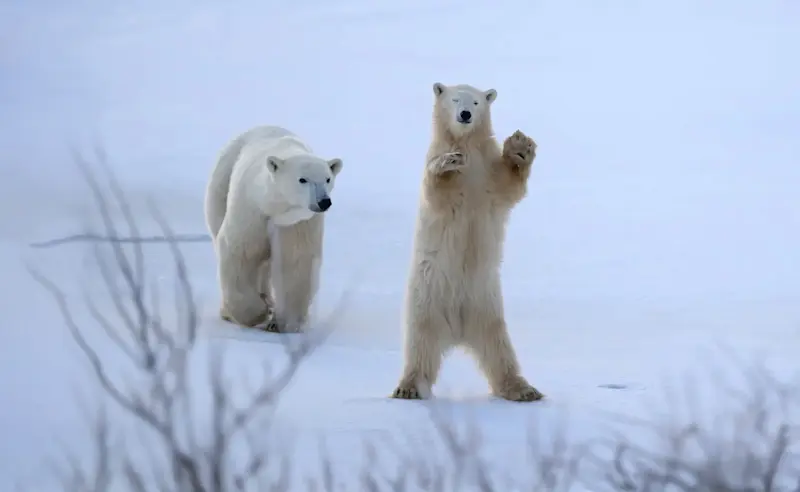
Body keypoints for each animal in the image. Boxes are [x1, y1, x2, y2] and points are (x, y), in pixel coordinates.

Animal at [204, 125, 343, 333]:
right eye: (303, 179)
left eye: (327, 179)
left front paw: (282, 323)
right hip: (222, 183)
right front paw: (257, 313)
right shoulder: (251, 209)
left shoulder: (297, 223)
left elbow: (295, 262)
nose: (324, 201)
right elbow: (240, 252)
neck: (275, 207)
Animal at [391, 82, 543, 402]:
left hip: (487, 306)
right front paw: (448, 162)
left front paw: (520, 147)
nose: (464, 114)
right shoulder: (438, 167)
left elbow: (510, 187)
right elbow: (436, 189)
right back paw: (409, 387)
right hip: (426, 300)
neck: (468, 146)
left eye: (476, 102)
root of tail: (457, 330)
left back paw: (523, 389)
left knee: (499, 348)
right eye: (454, 99)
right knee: (420, 345)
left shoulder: (488, 173)